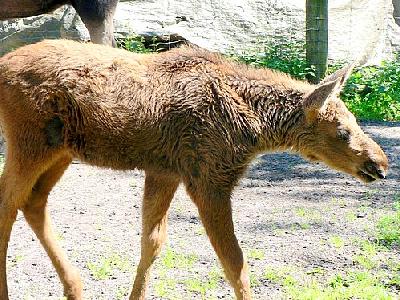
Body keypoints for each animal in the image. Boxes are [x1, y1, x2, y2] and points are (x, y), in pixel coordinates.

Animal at [0, 40, 390, 300]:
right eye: (342, 131)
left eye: (355, 121)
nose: (380, 164)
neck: (256, 130)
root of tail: (3, 65)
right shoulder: (209, 180)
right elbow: (235, 264)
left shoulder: (166, 171)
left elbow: (152, 241)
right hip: (29, 144)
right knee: (8, 204)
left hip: (60, 151)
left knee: (33, 202)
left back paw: (74, 286)